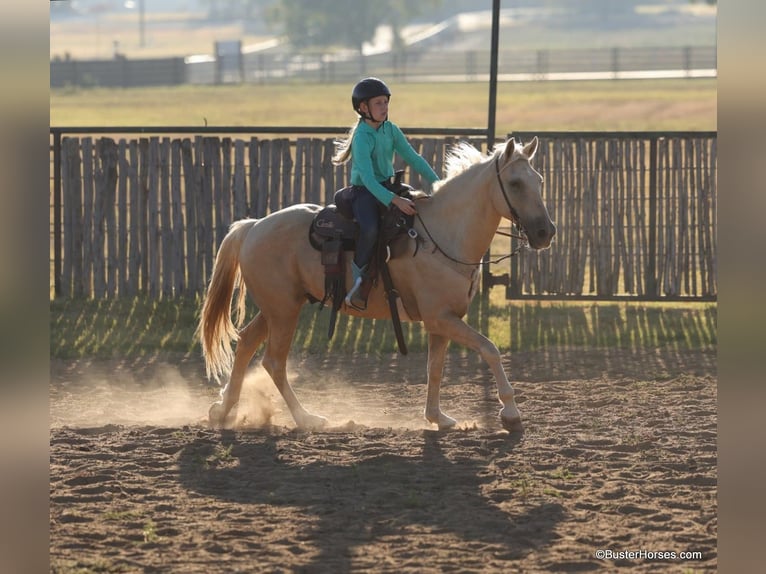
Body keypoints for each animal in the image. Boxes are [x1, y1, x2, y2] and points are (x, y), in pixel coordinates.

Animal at [198, 136, 560, 432]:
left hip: (278, 308)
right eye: (515, 183)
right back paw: (306, 418)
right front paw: (510, 413)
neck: (443, 236)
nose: (546, 232)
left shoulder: (442, 323)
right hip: (284, 312)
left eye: (540, 181)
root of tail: (254, 225)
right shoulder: (442, 318)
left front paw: (437, 418)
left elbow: (435, 368)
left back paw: (223, 410)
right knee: (273, 361)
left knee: (246, 343)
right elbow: (490, 350)